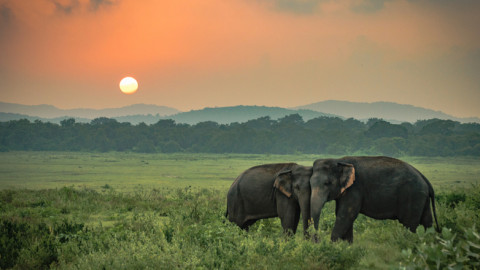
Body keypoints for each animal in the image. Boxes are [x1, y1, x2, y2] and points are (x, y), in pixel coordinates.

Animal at [310, 156, 440, 243]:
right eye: (310, 183)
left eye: (327, 183)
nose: (318, 240)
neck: (338, 160)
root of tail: (424, 178)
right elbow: (343, 215)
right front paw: (347, 247)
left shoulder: (355, 189)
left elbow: (346, 215)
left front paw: (333, 246)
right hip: (421, 198)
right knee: (427, 221)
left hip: (413, 196)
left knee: (409, 224)